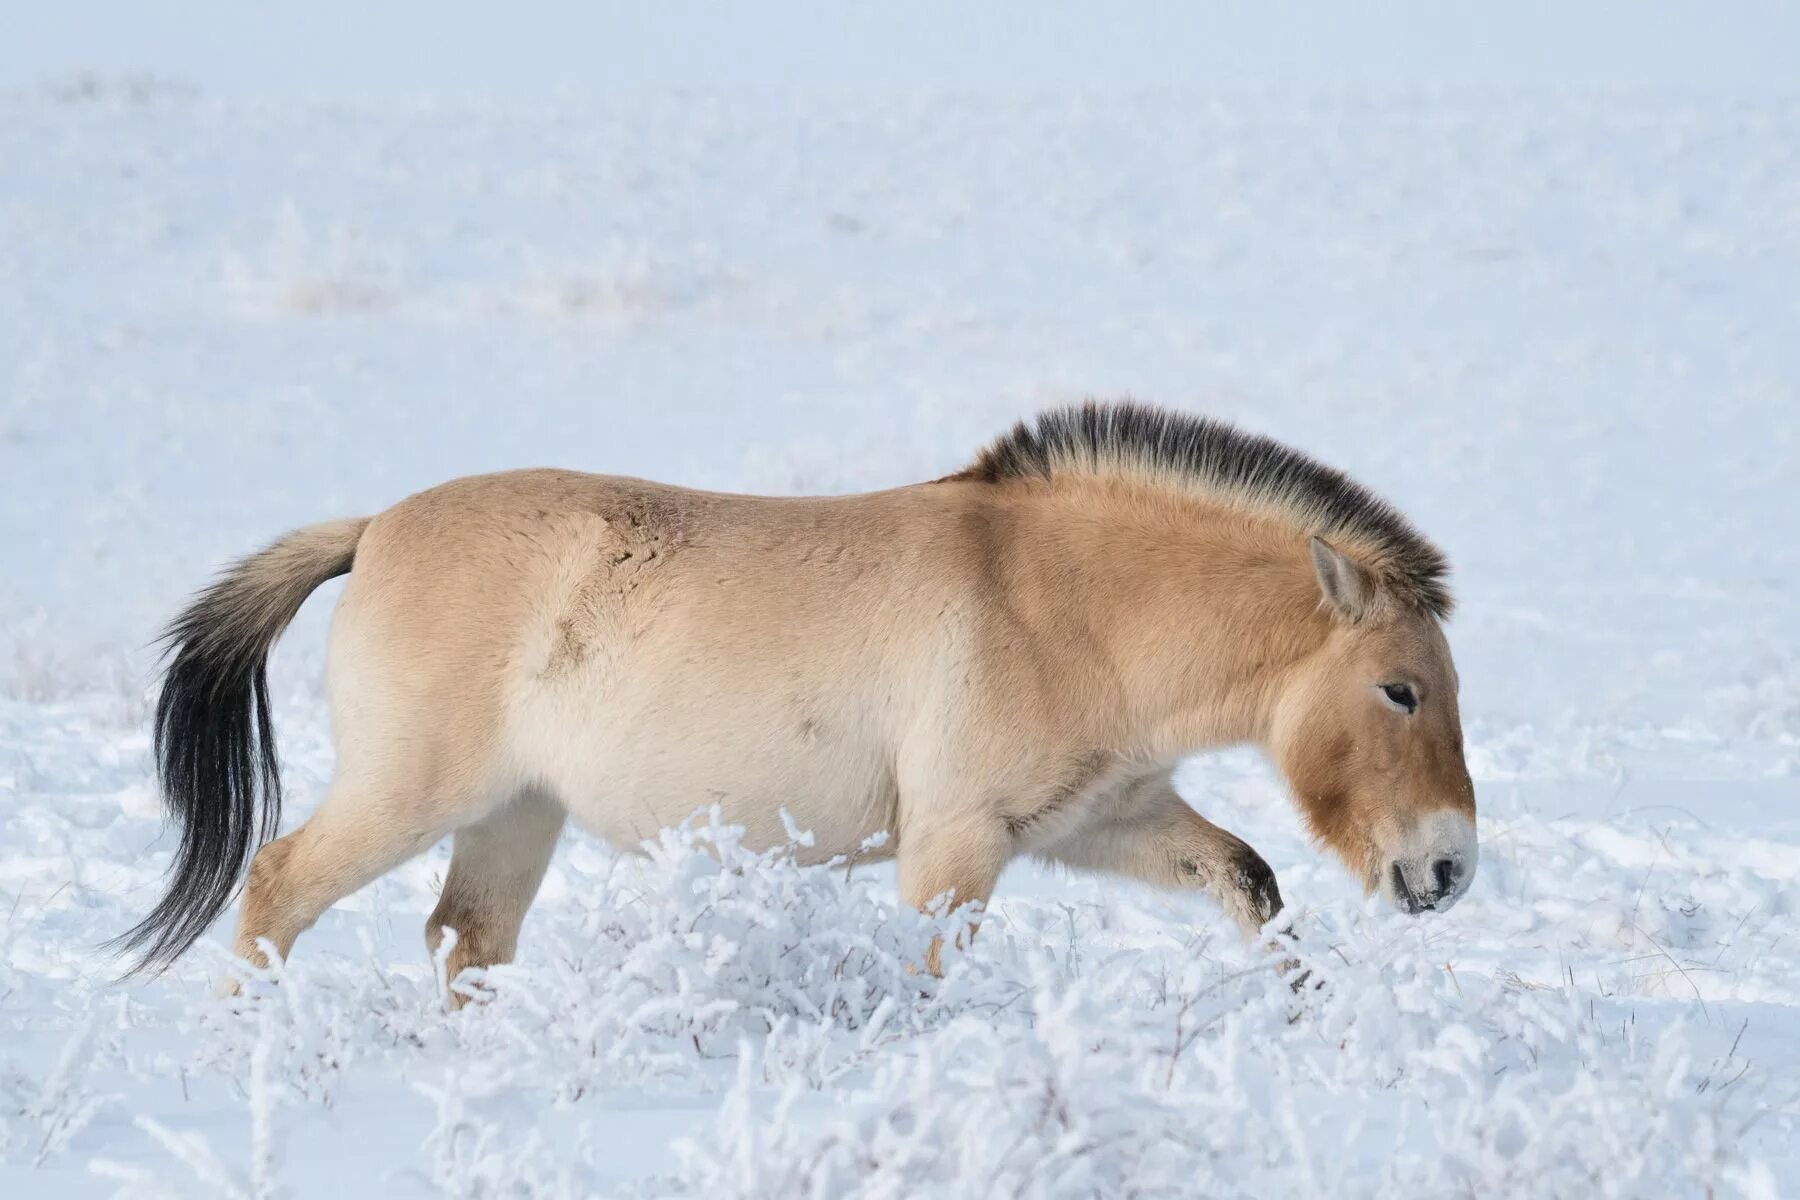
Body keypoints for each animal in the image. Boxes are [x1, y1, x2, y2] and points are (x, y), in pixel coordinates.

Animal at [123, 406, 1476, 993]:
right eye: (1401, 689)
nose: (1451, 870)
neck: (1062, 601)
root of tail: (375, 531)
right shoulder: (954, 842)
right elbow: (936, 973)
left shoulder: (1104, 820)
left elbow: (1252, 884)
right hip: (412, 792)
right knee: (278, 888)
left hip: (514, 815)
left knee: (467, 940)